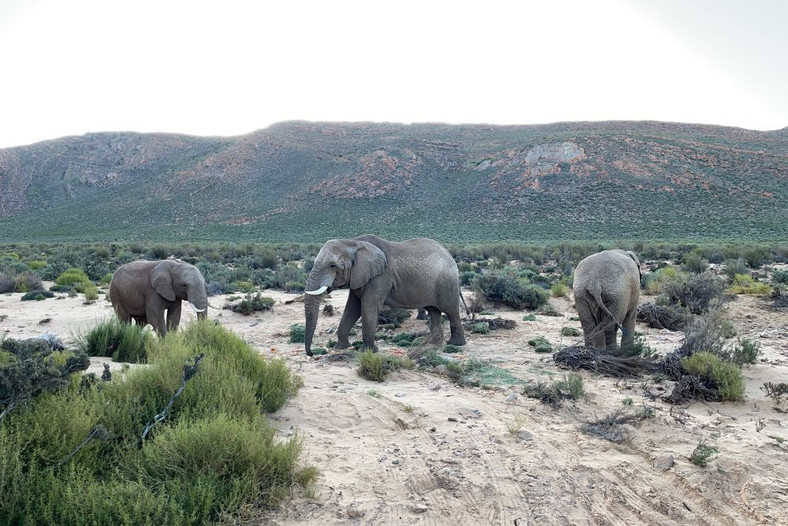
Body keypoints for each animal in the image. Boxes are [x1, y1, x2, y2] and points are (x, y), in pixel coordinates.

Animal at [300, 236, 462, 356]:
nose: (312, 353)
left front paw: (368, 351)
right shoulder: (358, 277)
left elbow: (368, 307)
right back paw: (433, 343)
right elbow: (352, 308)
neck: (352, 242)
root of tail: (449, 255)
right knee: (434, 311)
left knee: (451, 311)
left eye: (332, 266)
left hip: (447, 282)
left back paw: (455, 344)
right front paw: (341, 347)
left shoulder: (380, 277)